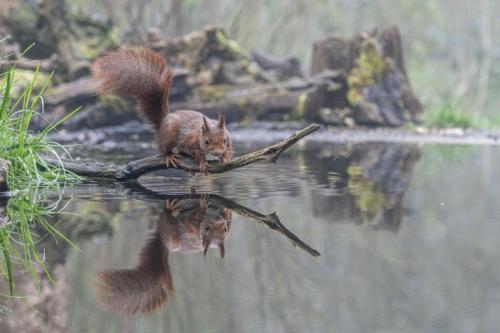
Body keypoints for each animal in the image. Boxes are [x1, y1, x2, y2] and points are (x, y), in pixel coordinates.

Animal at [92, 48, 232, 176]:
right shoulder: (191, 140)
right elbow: (197, 154)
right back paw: (170, 156)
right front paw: (202, 162)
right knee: (163, 148)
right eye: (206, 141)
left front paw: (226, 158)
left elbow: (229, 150)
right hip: (170, 133)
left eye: (224, 140)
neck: (200, 132)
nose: (217, 152)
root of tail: (164, 120)